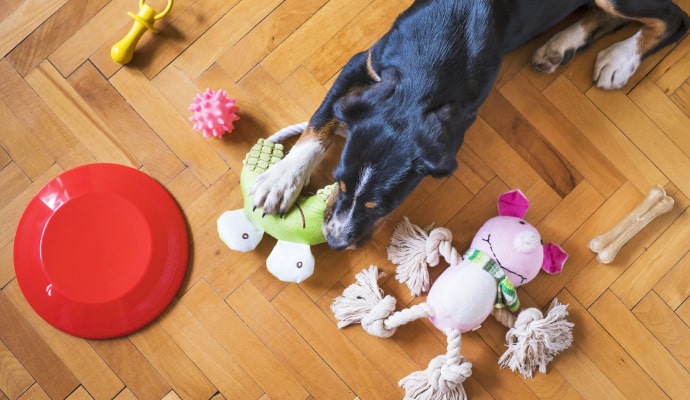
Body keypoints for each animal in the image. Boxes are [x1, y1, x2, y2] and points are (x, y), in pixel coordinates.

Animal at [250, 0, 689, 250]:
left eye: (384, 207)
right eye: (339, 184)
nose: (336, 242)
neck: (436, 55)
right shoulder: (364, 62)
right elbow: (320, 120)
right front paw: (281, 180)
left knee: (675, 19)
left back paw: (620, 60)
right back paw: (558, 46)